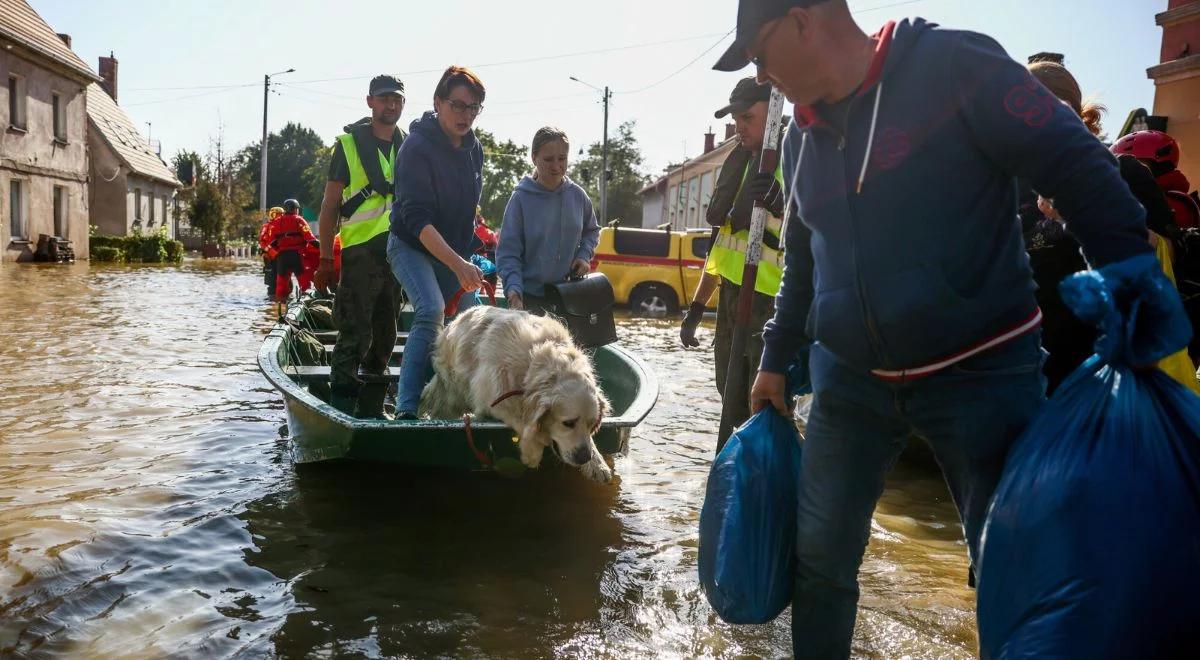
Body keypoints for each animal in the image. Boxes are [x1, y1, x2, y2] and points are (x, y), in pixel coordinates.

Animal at [420, 307, 609, 484]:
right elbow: (520, 420)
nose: (584, 458)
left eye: (592, 424)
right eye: (568, 423)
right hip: (452, 391)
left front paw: (598, 464)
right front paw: (531, 451)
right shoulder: (494, 395)